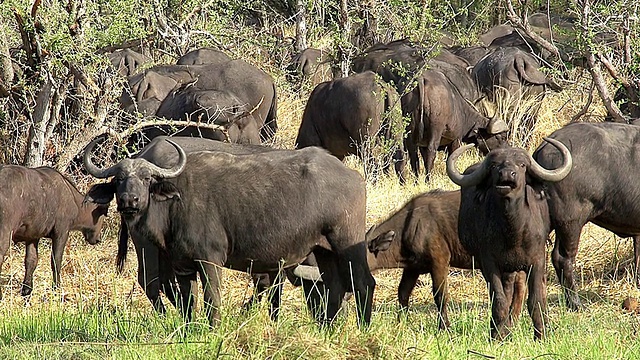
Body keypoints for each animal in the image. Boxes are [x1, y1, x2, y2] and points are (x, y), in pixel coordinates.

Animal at [0, 166, 109, 298]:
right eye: (103, 214)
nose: (98, 239)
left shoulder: (32, 237)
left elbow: (31, 261)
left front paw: (26, 290)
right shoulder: (61, 232)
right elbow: (56, 261)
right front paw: (56, 287)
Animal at [85, 139, 376, 328]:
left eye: (147, 179)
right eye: (118, 180)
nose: (129, 201)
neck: (175, 204)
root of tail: (353, 176)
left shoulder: (211, 261)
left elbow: (213, 298)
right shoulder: (184, 267)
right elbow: (190, 302)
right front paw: (191, 331)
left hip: (346, 242)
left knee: (362, 283)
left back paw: (361, 327)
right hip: (324, 250)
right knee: (338, 286)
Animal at [364, 190, 524, 330]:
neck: (410, 225)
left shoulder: (439, 261)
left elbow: (440, 295)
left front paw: (444, 327)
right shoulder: (412, 267)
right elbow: (403, 292)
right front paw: (401, 323)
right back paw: (513, 319)